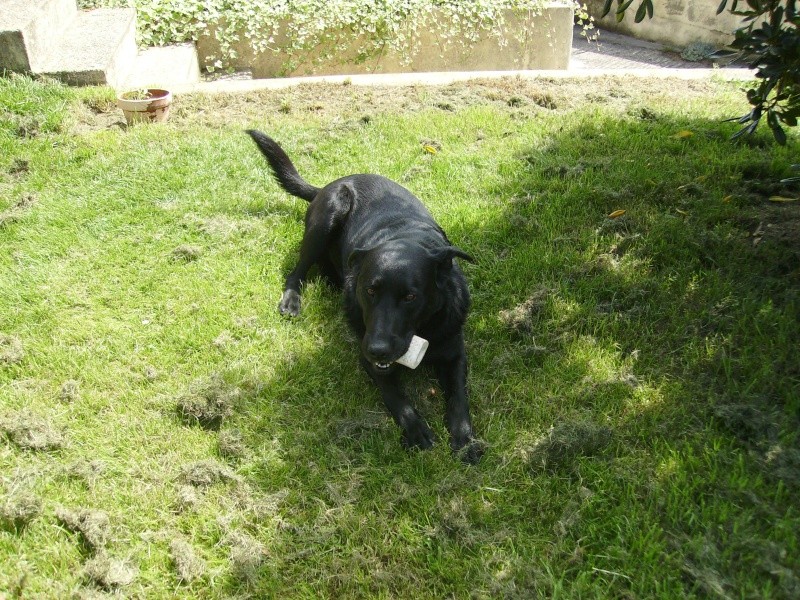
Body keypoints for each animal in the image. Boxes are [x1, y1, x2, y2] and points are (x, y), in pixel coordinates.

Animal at [247, 129, 482, 462]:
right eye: (370, 290)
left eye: (410, 297)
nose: (378, 349)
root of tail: (327, 185)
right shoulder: (369, 359)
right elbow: (395, 396)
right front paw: (416, 429)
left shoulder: (455, 352)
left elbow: (459, 398)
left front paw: (465, 440)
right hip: (328, 214)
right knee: (297, 270)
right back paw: (293, 300)